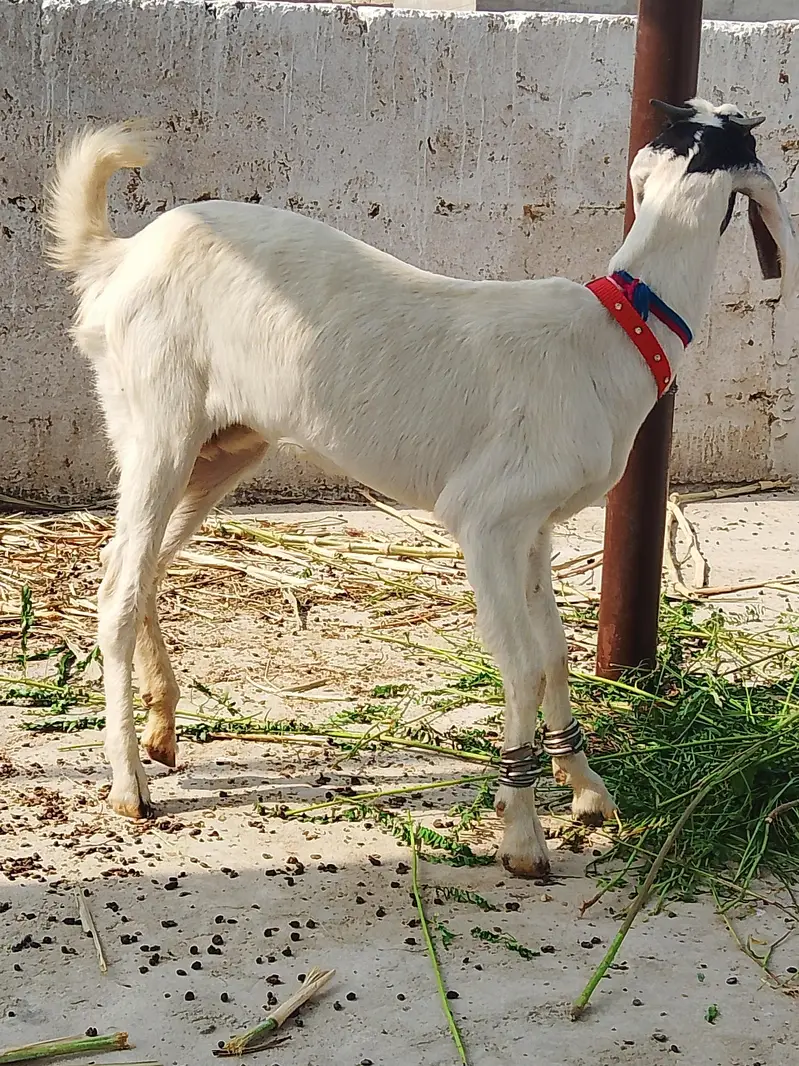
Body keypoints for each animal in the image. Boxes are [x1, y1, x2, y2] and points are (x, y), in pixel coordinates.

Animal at [46, 98, 798, 878]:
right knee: (119, 584)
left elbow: (554, 651)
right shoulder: (487, 518)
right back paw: (129, 785)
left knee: (135, 563)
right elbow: (521, 664)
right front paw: (522, 835)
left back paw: (162, 727)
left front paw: (586, 789)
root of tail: (119, 256)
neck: (617, 332)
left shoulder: (535, 526)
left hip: (224, 443)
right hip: (158, 416)